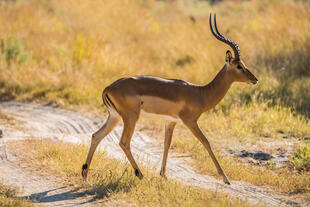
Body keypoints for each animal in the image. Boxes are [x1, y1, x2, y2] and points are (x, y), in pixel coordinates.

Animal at [81, 13, 258, 184]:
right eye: (239, 66)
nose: (255, 79)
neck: (200, 93)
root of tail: (108, 88)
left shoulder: (171, 122)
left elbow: (167, 144)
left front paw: (164, 175)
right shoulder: (190, 121)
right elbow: (206, 142)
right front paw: (226, 178)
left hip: (115, 117)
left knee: (96, 136)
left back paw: (85, 174)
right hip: (130, 118)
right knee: (124, 142)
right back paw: (141, 175)